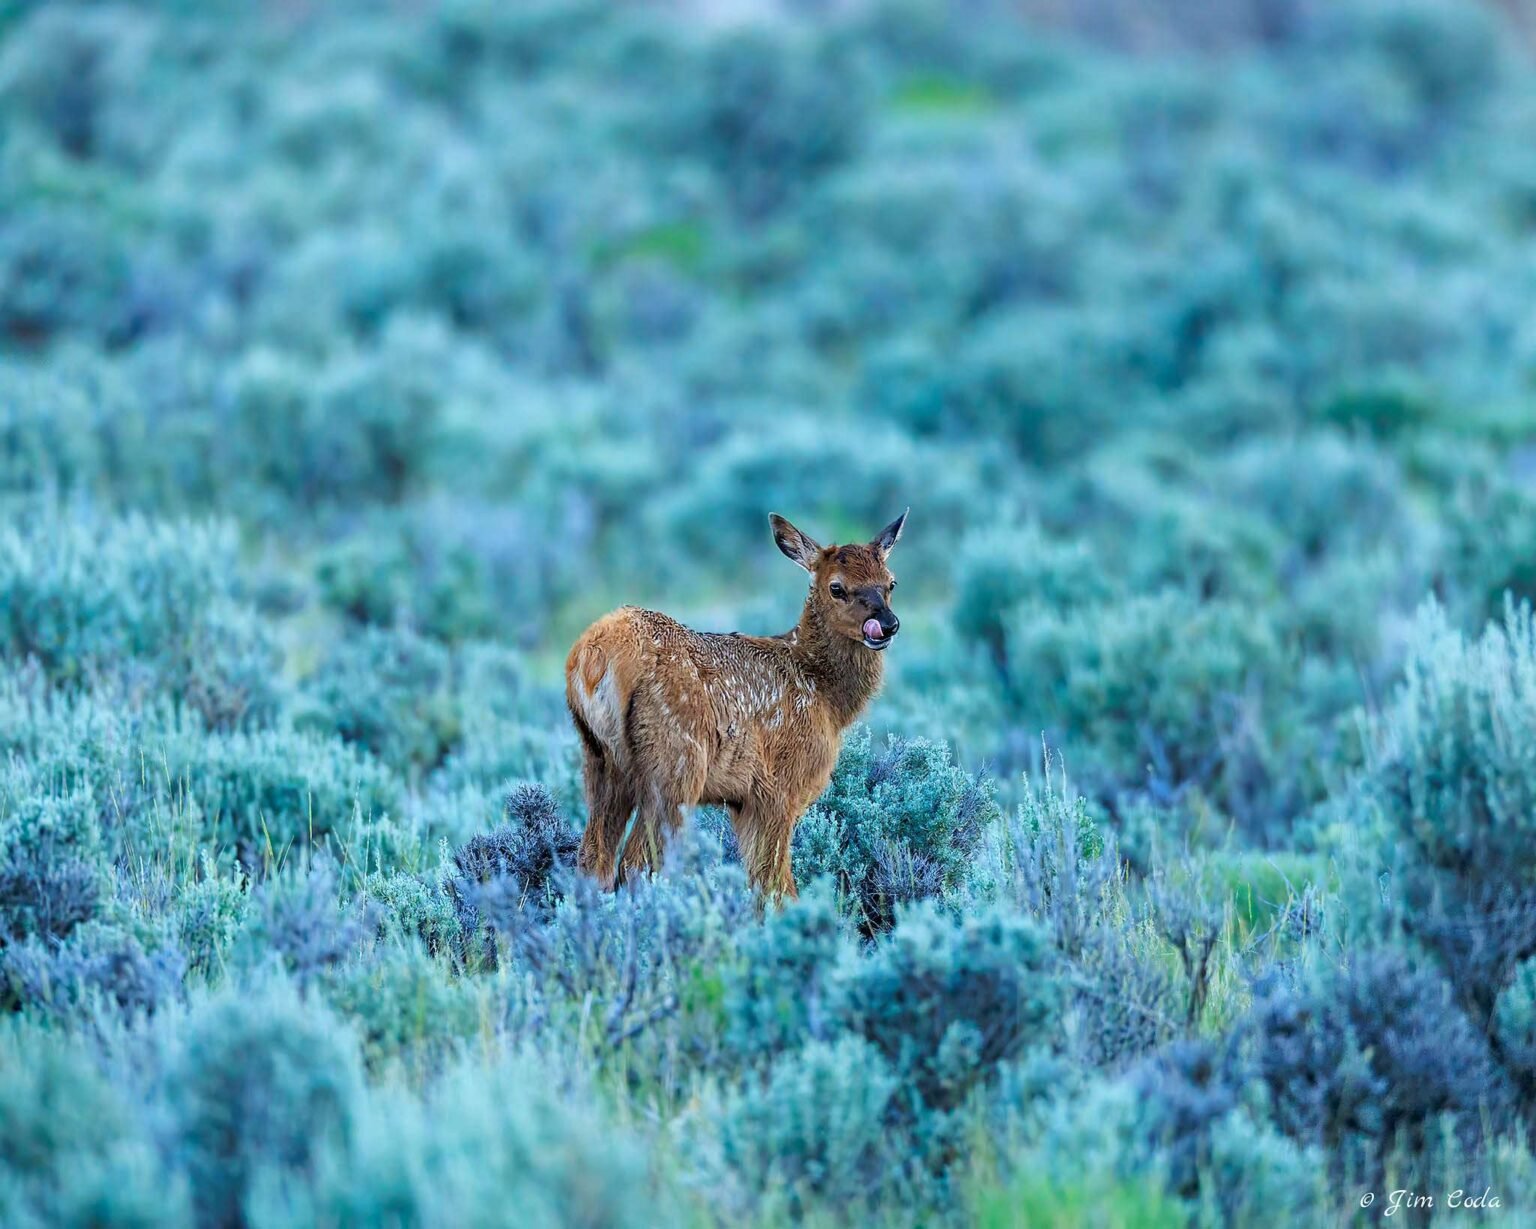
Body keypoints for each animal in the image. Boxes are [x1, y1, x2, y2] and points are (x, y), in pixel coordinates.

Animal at [565, 510, 907, 898]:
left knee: (593, 858)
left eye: (891, 583)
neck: (825, 696)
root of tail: (595, 655)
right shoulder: (778, 788)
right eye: (837, 587)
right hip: (675, 762)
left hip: (600, 760)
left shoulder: (744, 801)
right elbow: (775, 885)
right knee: (637, 863)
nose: (886, 624)